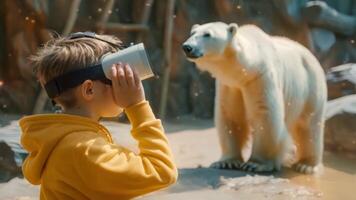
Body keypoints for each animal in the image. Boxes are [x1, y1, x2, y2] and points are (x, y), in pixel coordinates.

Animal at [184, 21, 328, 173]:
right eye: (192, 33)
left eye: (207, 34)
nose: (187, 47)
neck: (246, 69)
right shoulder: (230, 85)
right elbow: (230, 115)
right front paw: (227, 162)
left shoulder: (261, 77)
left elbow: (264, 114)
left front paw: (255, 163)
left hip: (310, 87)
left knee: (308, 126)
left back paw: (306, 165)